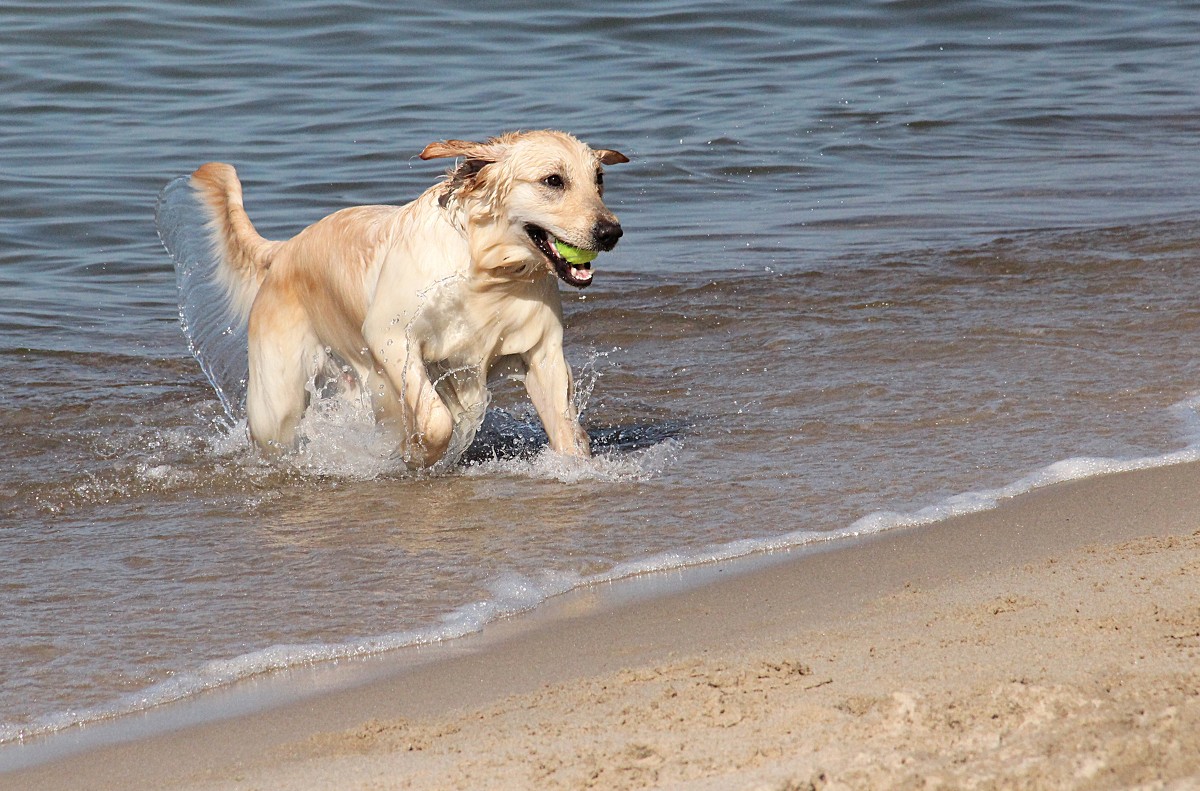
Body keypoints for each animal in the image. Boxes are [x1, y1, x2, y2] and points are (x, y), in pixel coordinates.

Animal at [158, 126, 628, 468]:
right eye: (553, 180)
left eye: (599, 180)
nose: (611, 232)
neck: (486, 271)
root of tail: (285, 248)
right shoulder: (390, 337)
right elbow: (436, 420)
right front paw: (418, 454)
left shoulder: (542, 350)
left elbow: (564, 428)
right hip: (277, 402)